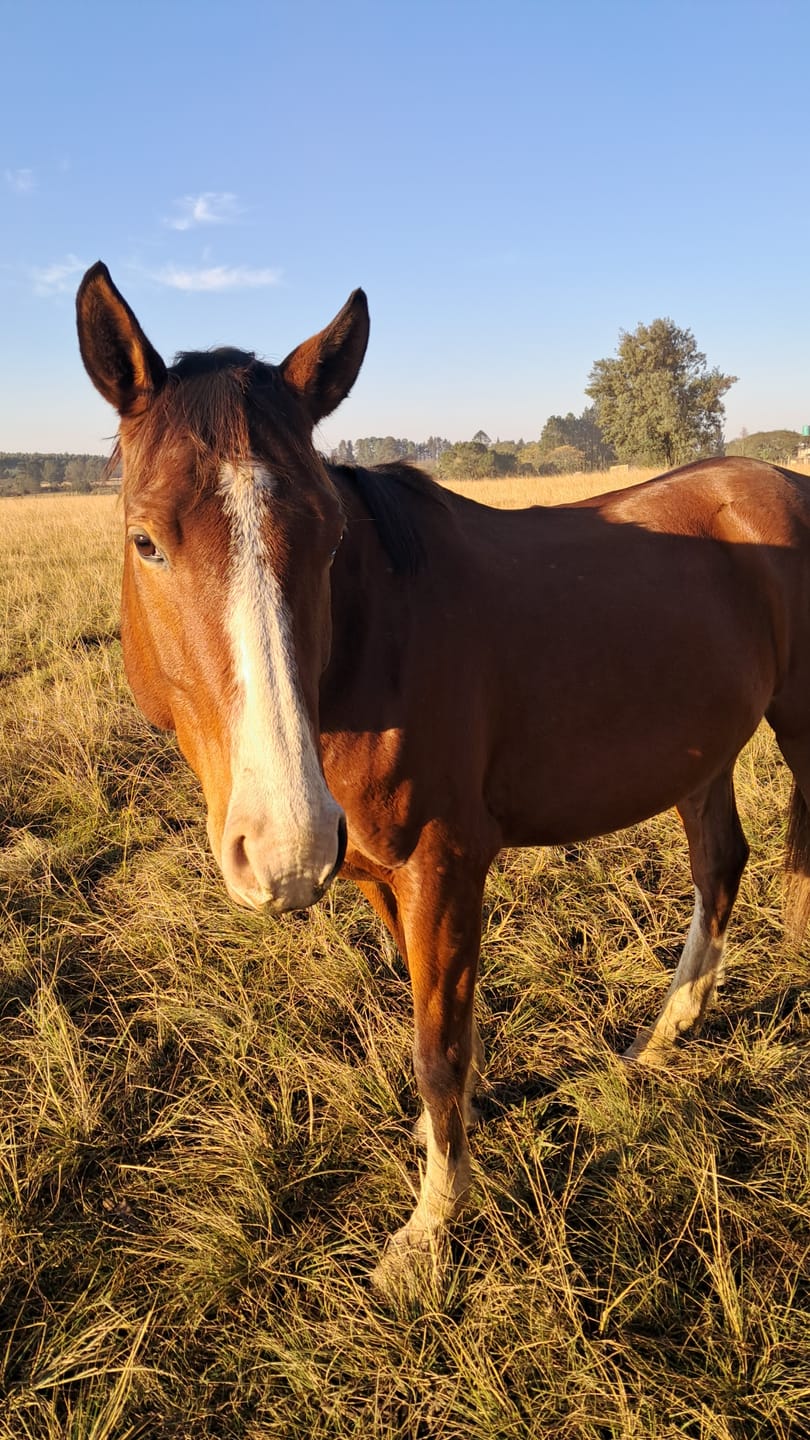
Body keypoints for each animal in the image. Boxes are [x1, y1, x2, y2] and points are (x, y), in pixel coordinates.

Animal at [76, 261, 810, 1286]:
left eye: (330, 540)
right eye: (146, 540)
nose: (287, 846)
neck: (372, 652)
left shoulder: (446, 866)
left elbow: (437, 1045)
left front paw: (428, 1229)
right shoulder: (380, 875)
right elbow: (435, 1028)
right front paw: (446, 1140)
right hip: (704, 748)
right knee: (719, 864)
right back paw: (668, 1031)